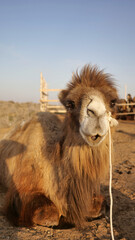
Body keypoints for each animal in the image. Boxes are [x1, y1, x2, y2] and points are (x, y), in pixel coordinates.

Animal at [0, 64, 118, 228]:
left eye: (113, 102)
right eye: (70, 104)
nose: (96, 113)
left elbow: (99, 204)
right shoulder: (21, 189)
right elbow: (48, 213)